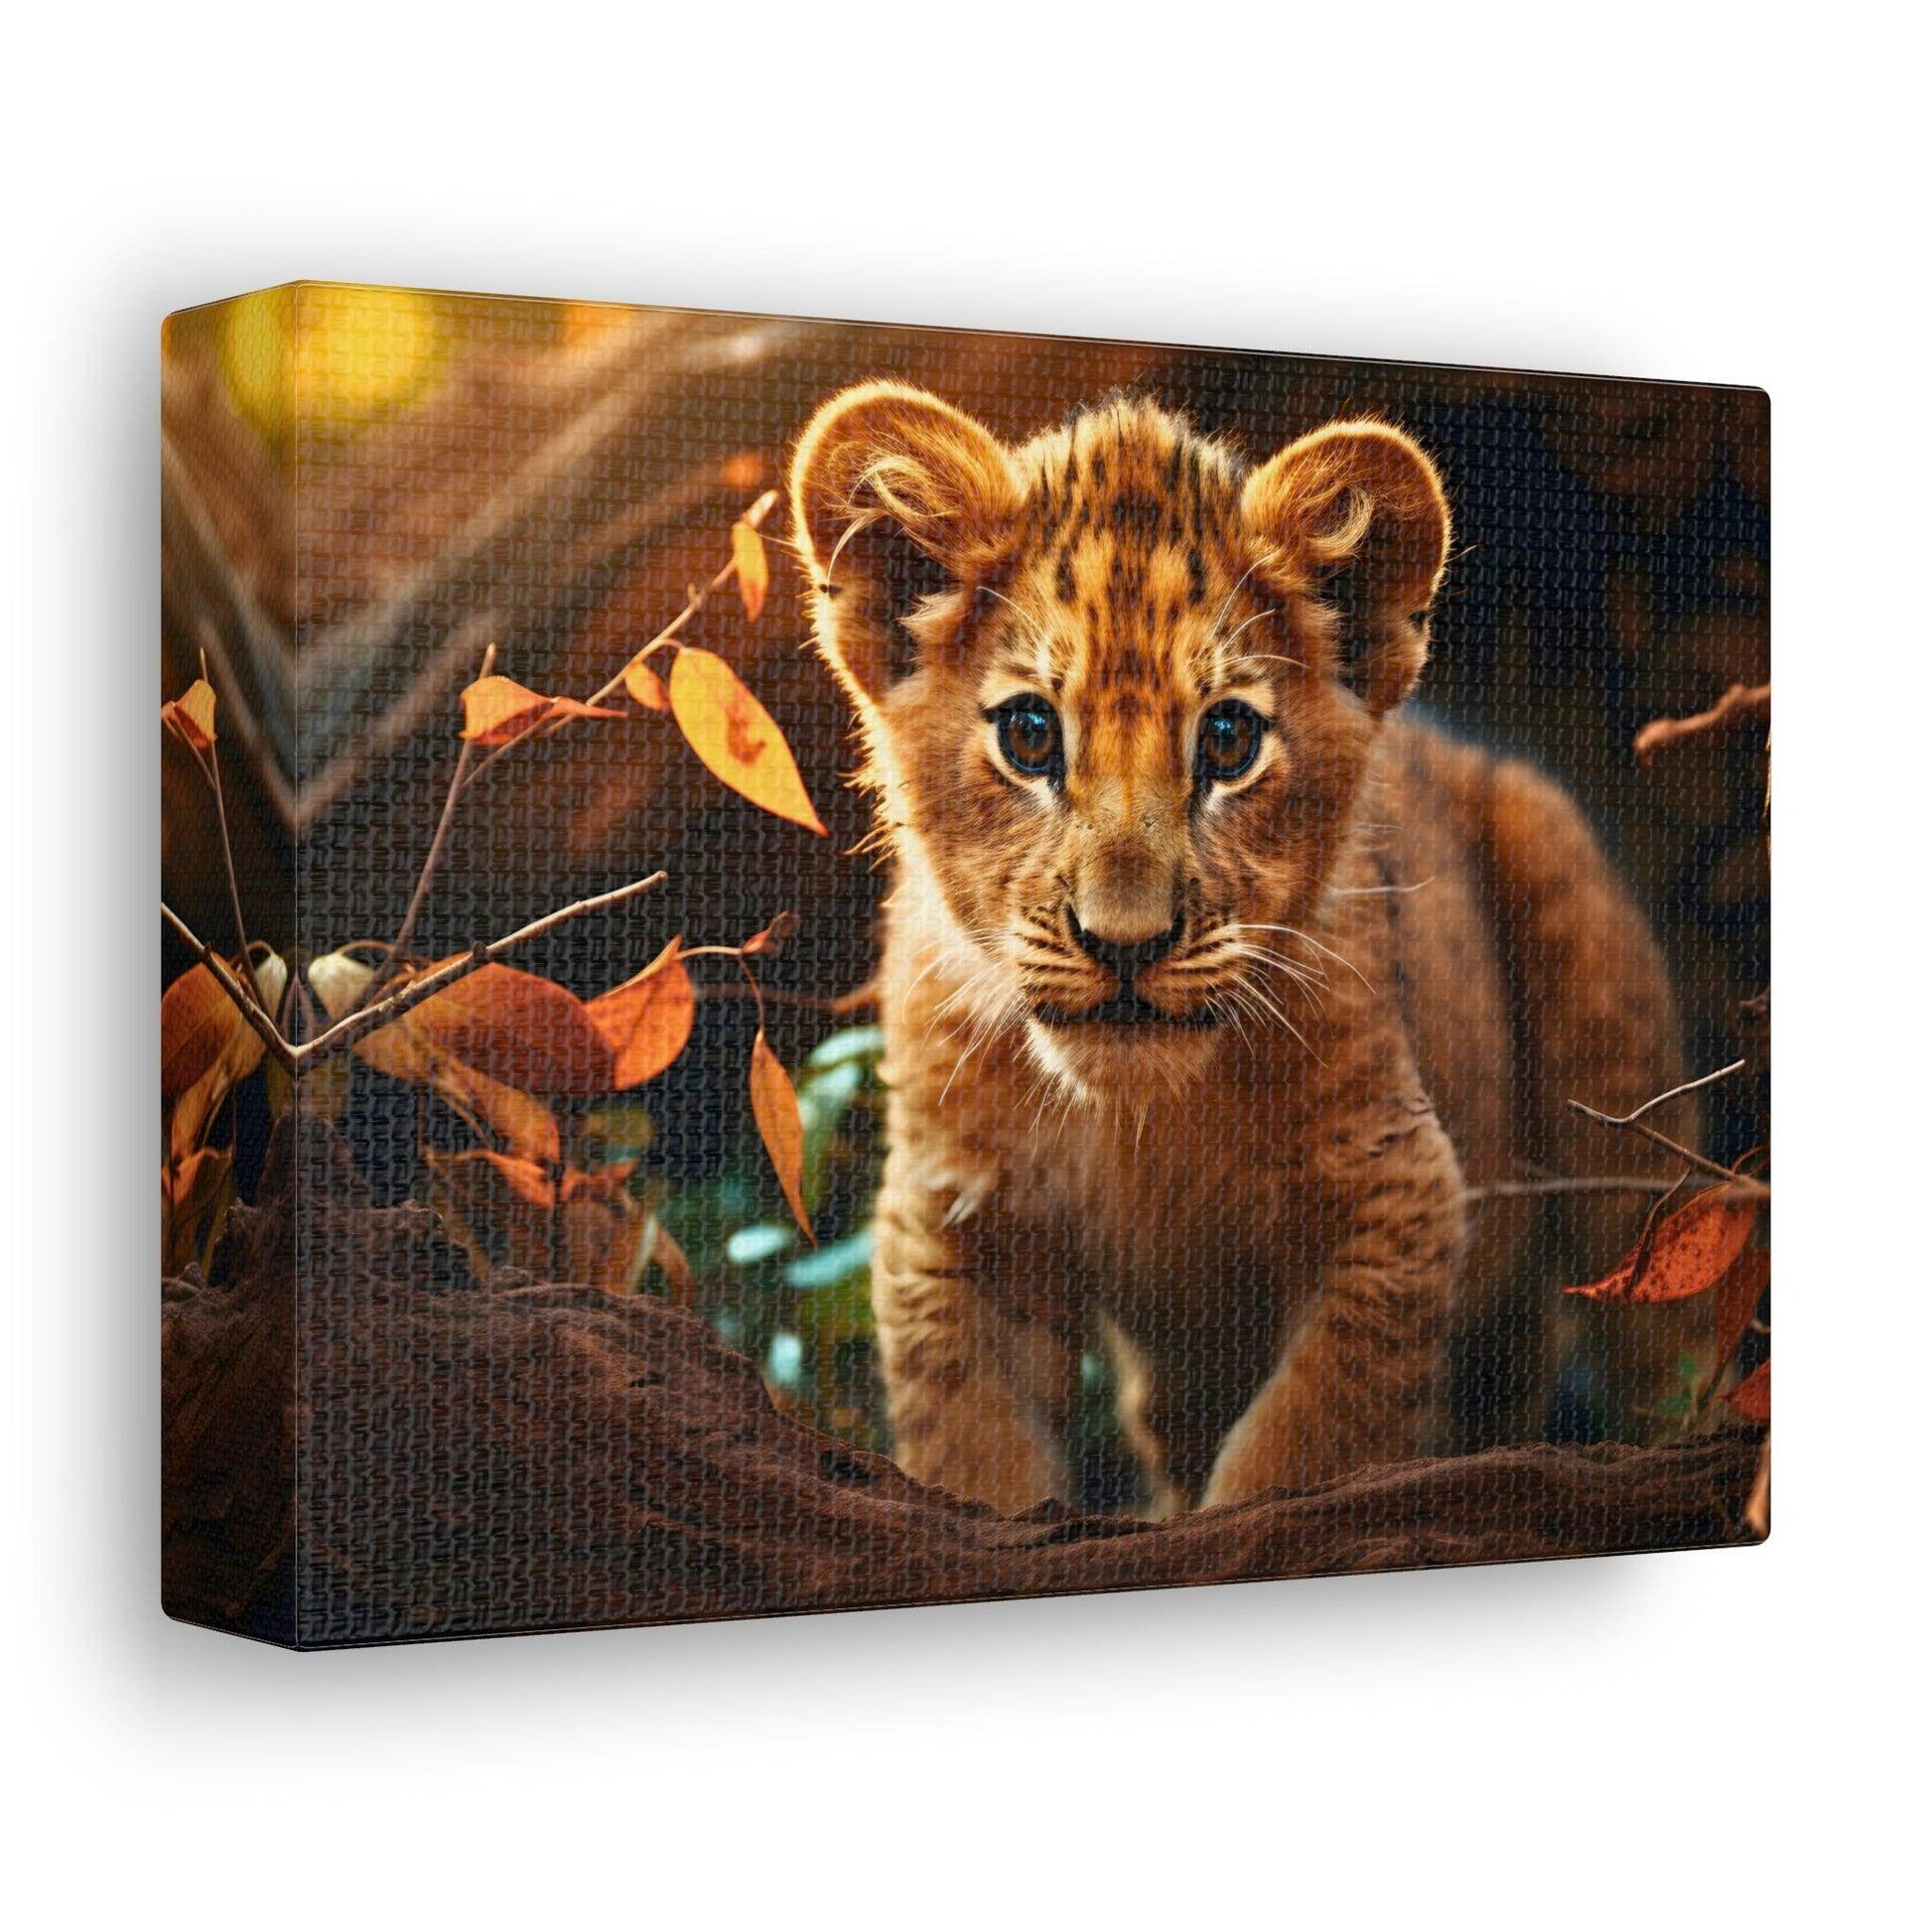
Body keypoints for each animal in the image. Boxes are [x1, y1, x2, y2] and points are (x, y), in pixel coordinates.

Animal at [789, 382, 1704, 1515]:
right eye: (1030, 735)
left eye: (1226, 740)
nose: (1124, 943)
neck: (1142, 1120)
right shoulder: (957, 1218)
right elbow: (978, 1456)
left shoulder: (1395, 1189)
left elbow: (1301, 1446)